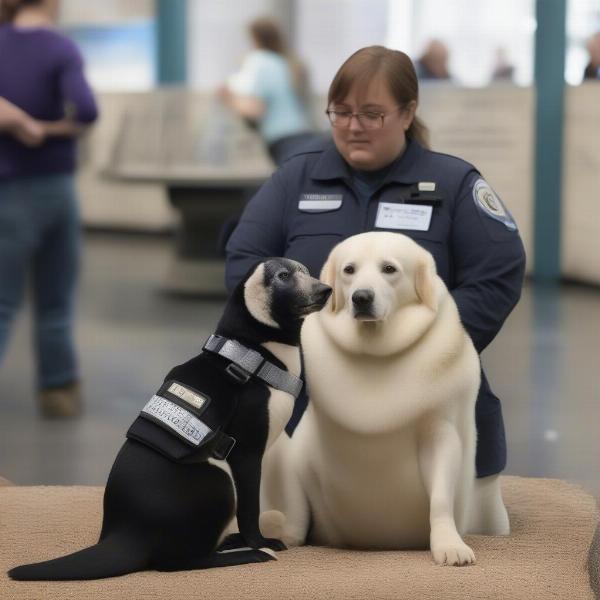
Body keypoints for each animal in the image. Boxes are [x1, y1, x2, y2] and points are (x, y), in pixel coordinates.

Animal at [9, 258, 330, 580]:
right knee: (178, 562)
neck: (251, 355)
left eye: (304, 271)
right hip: (219, 482)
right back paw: (246, 554)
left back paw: (230, 542)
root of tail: (125, 534)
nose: (325, 289)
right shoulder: (247, 454)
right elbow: (250, 508)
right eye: (283, 276)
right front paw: (260, 542)